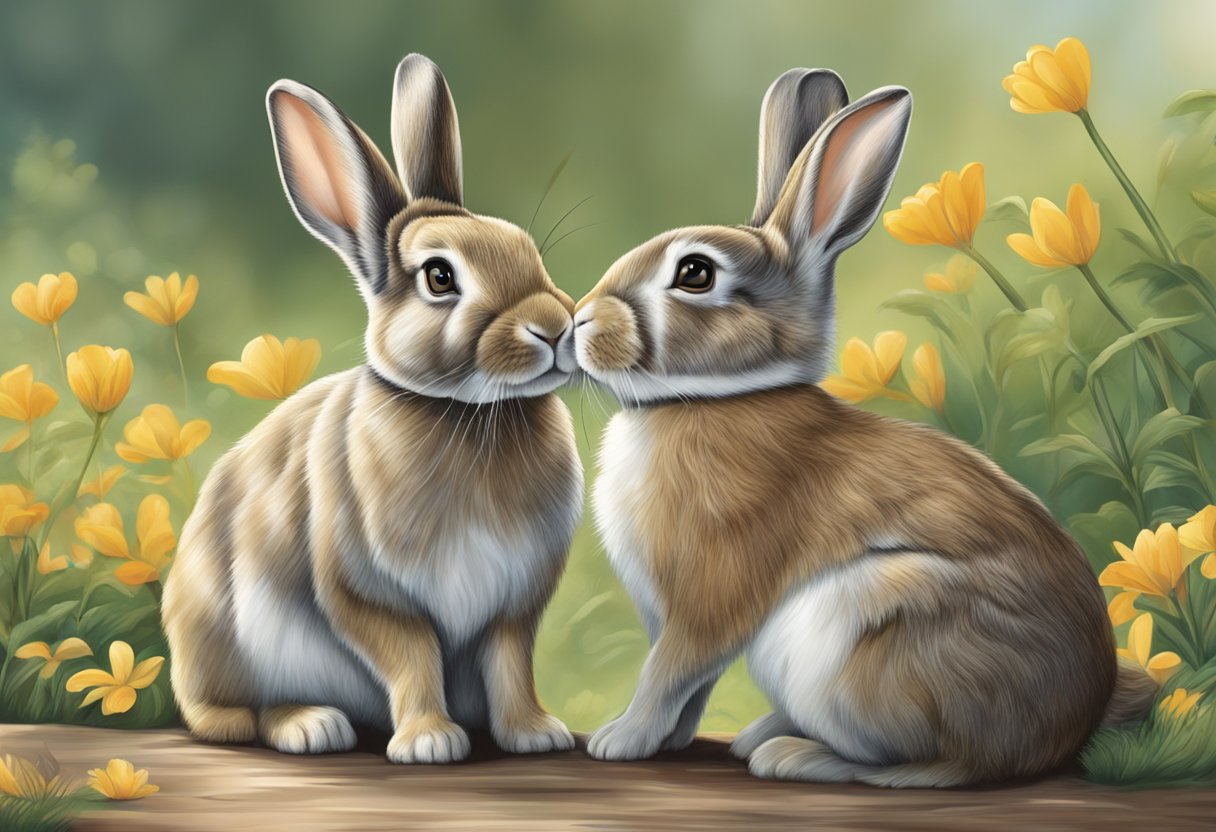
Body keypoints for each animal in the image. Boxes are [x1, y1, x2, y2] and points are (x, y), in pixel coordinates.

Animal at [162, 54, 583, 764]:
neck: (465, 411)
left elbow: (510, 664)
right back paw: (312, 726)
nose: (554, 328)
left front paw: (535, 734)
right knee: (246, 715)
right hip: (237, 645)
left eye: (528, 249)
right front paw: (430, 743)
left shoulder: (513, 607)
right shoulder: (367, 592)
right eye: (440, 277)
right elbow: (411, 656)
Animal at [572, 68, 1156, 787]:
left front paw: (621, 739)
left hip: (865, 637)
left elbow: (669, 672)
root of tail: (1067, 728)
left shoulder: (715, 590)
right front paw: (668, 740)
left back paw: (790, 754)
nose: (578, 323)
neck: (709, 398)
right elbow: (691, 686)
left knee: (929, 767)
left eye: (695, 273)